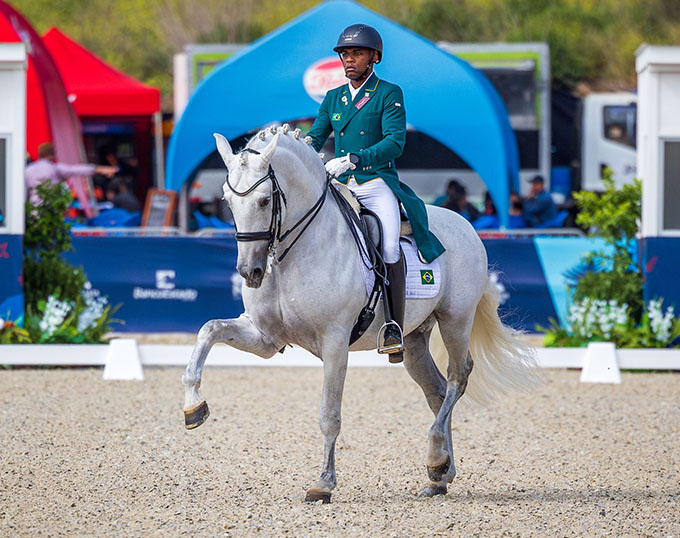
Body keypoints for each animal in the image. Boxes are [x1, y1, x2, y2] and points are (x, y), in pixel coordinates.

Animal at [182, 123, 540, 500]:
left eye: (265, 200)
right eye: (227, 200)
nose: (250, 273)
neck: (295, 253)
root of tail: (468, 226)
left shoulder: (335, 343)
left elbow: (329, 414)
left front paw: (324, 483)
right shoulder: (265, 338)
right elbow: (209, 329)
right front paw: (194, 406)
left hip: (456, 320)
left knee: (459, 378)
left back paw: (435, 459)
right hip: (414, 339)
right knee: (438, 392)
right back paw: (441, 473)